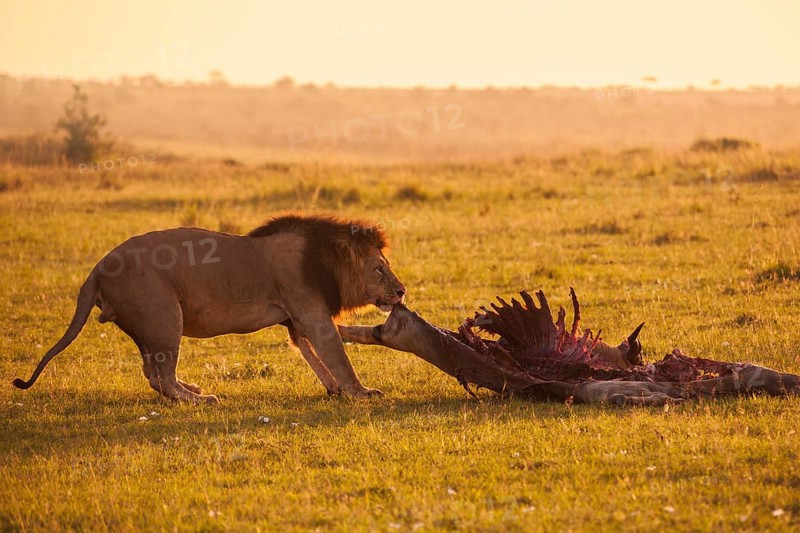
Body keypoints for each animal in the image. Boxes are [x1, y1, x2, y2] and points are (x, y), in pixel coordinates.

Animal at [12, 214, 406, 403]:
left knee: (152, 373)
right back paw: (199, 399)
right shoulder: (311, 312)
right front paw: (360, 392)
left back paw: (190, 390)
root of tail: (97, 268)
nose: (401, 291)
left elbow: (313, 354)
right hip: (165, 317)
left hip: (147, 326)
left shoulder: (296, 318)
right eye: (379, 269)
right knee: (162, 377)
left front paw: (335, 389)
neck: (325, 260)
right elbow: (337, 355)